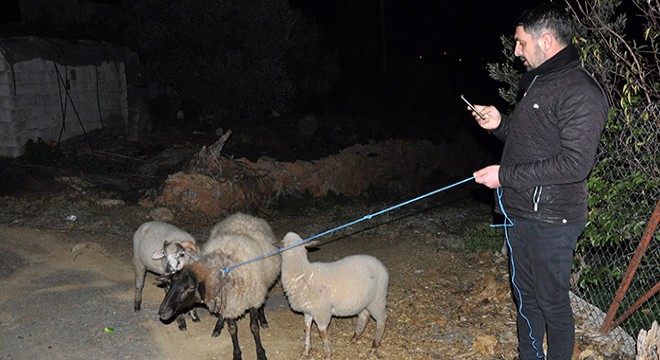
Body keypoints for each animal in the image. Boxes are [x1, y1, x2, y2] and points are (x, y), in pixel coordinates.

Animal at [158, 212, 282, 360]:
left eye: (190, 288)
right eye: (171, 283)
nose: (162, 312)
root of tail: (243, 215)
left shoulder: (251, 299)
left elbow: (254, 327)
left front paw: (260, 353)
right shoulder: (229, 304)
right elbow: (233, 329)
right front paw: (237, 354)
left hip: (265, 282)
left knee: (262, 302)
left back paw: (263, 320)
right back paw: (218, 326)